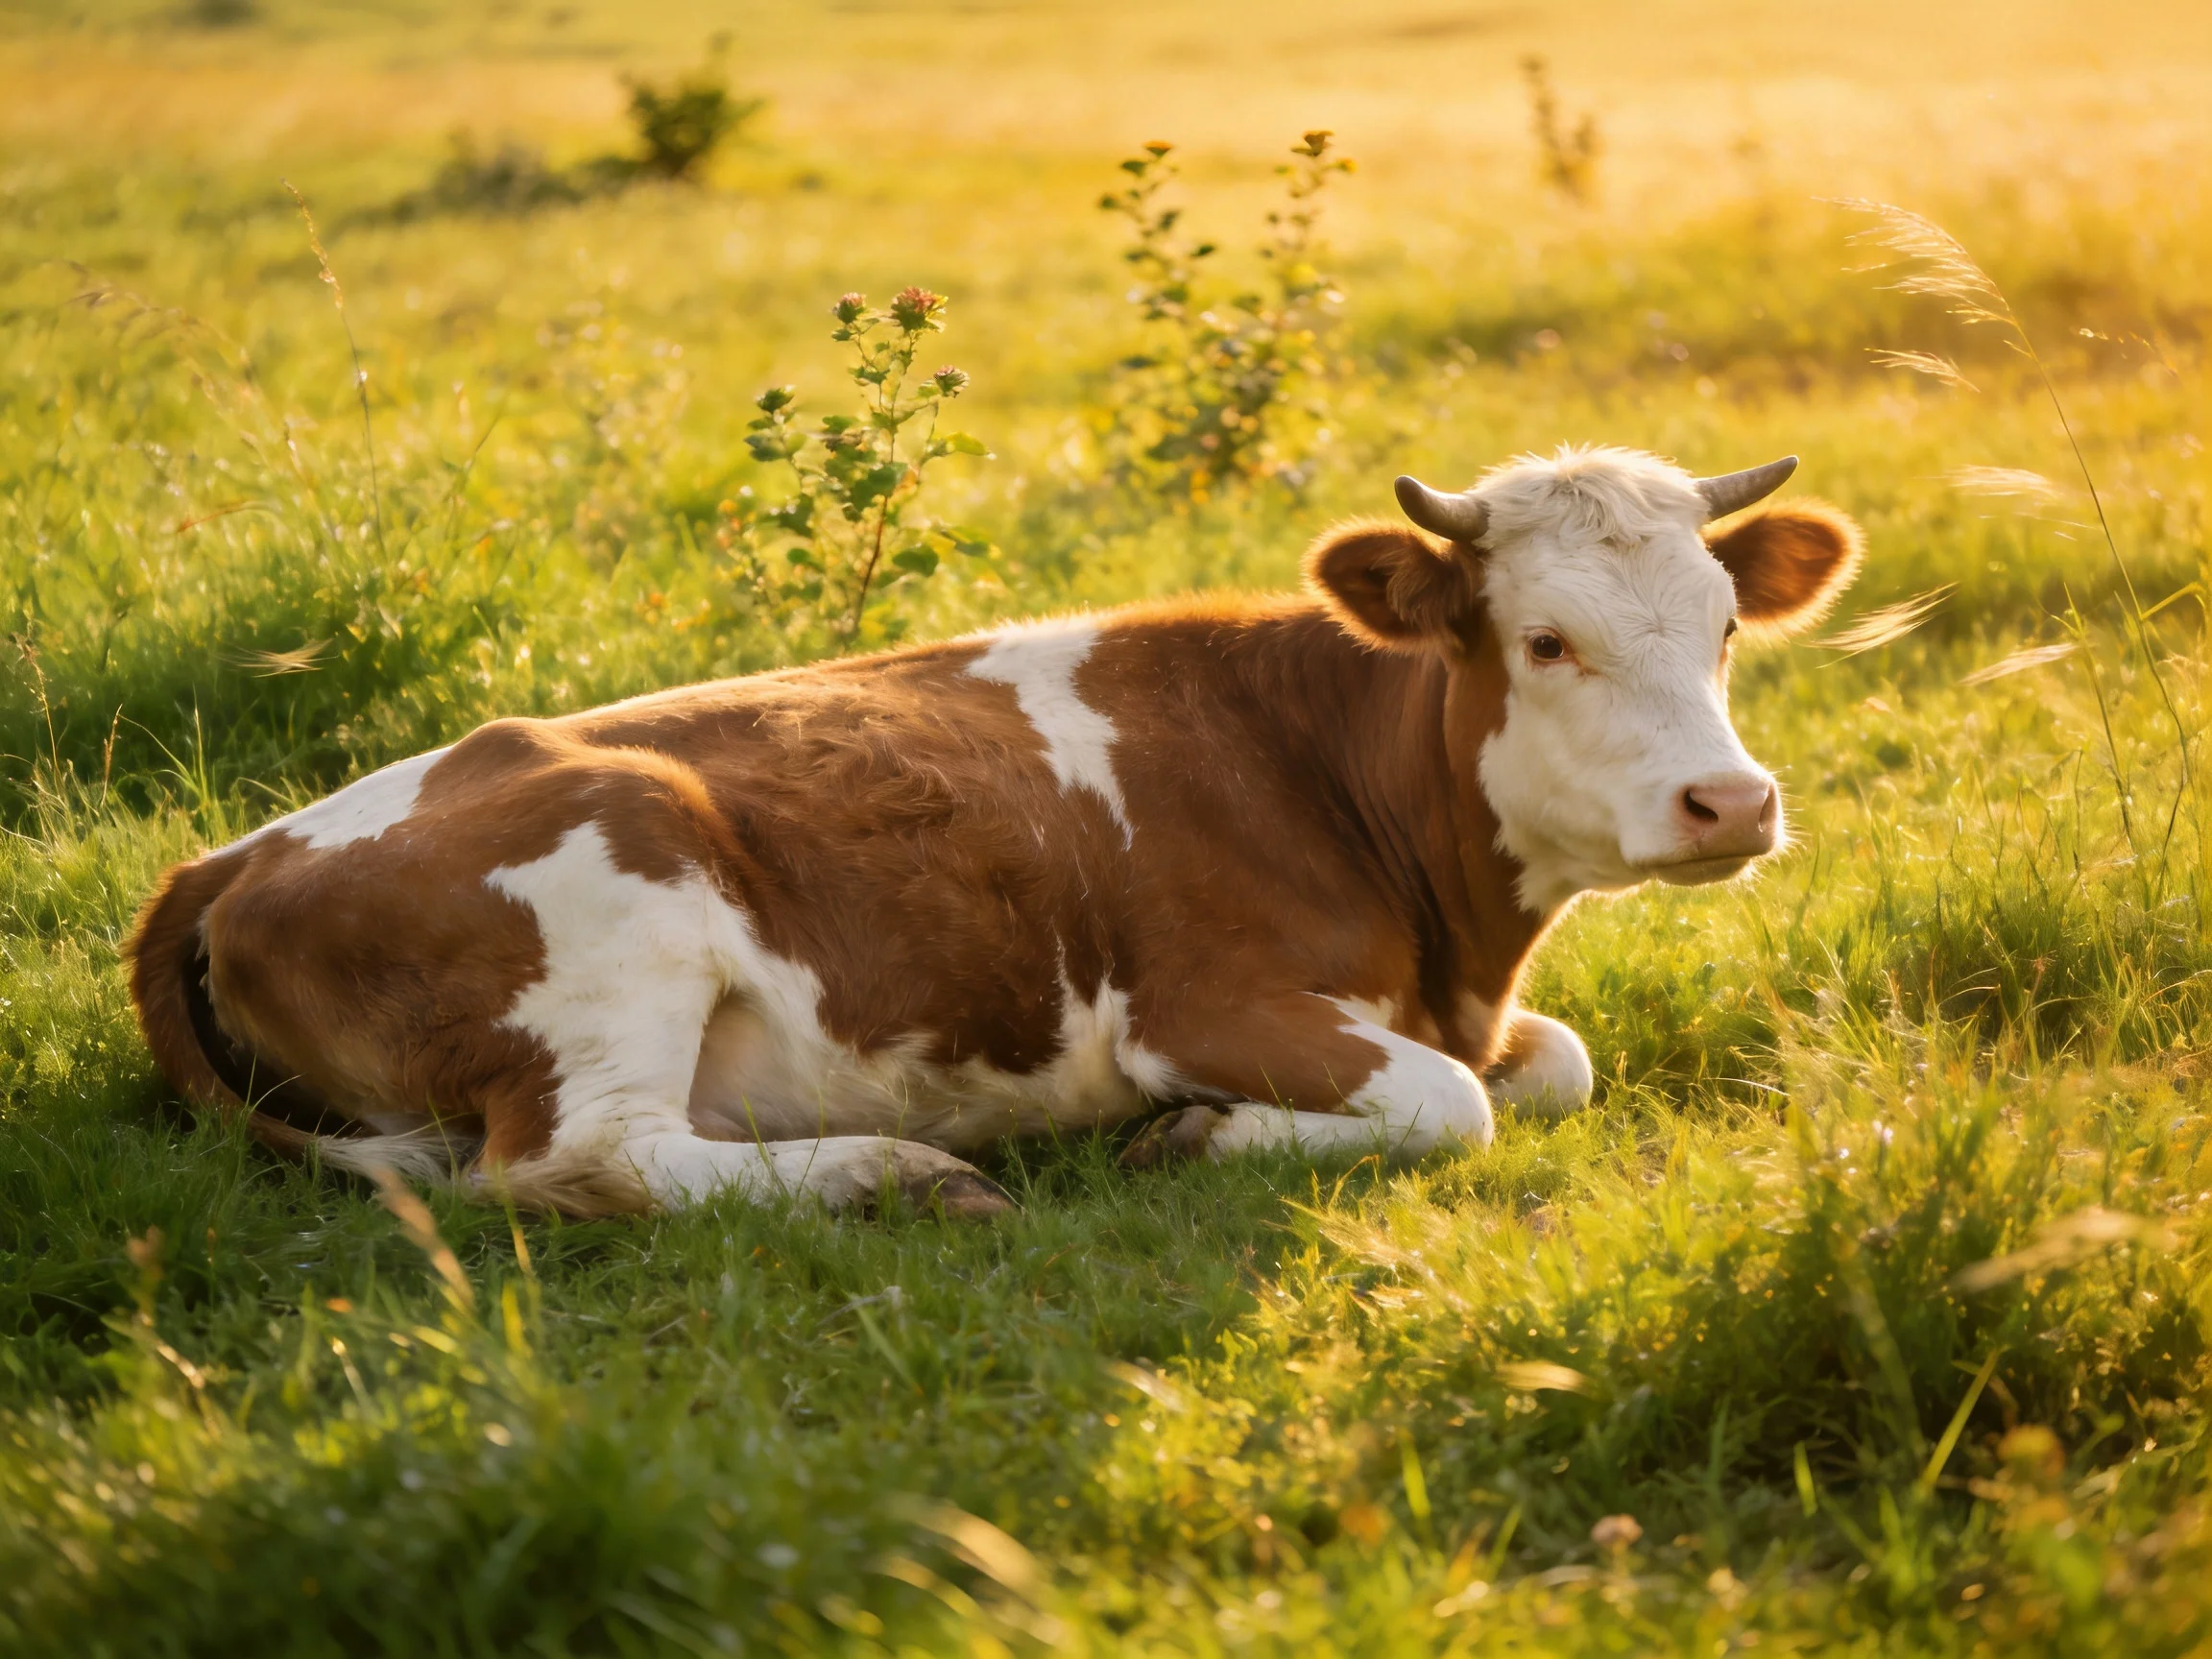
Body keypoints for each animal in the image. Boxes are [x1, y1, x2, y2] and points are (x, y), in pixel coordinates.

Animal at [128, 446, 1860, 1219]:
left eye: (1723, 626)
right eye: (1547, 642)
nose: (1730, 802)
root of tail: (241, 851)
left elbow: (1552, 1065)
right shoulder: (1200, 1001)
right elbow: (1458, 1102)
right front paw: (1191, 1134)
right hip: (619, 897)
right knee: (575, 1161)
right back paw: (890, 1166)